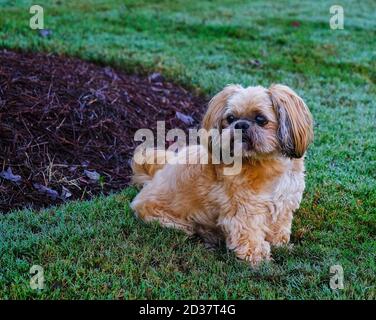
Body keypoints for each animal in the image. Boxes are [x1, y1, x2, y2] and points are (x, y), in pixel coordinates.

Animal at [131, 83, 312, 264]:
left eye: (261, 119)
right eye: (230, 118)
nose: (240, 125)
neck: (265, 162)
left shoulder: (284, 203)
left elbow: (278, 227)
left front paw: (280, 245)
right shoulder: (246, 211)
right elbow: (249, 235)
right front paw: (256, 257)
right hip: (169, 220)